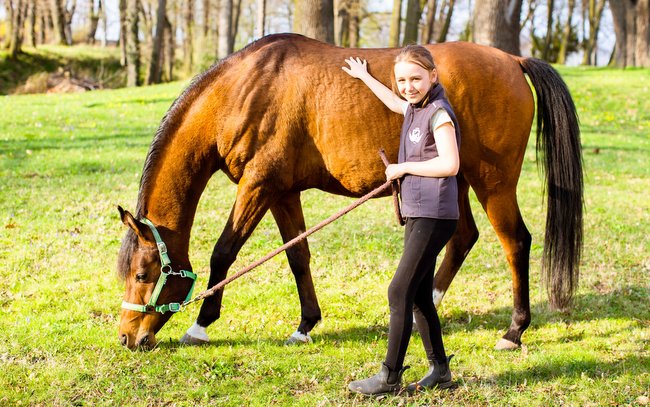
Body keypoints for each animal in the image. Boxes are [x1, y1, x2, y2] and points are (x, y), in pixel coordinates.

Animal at [114, 34, 580, 350]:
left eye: (142, 275)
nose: (126, 337)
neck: (244, 89)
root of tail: (512, 60)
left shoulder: (258, 186)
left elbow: (223, 253)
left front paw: (201, 324)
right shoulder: (282, 193)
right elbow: (298, 257)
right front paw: (305, 325)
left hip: (492, 182)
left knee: (515, 242)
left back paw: (514, 330)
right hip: (455, 180)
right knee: (463, 238)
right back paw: (424, 306)